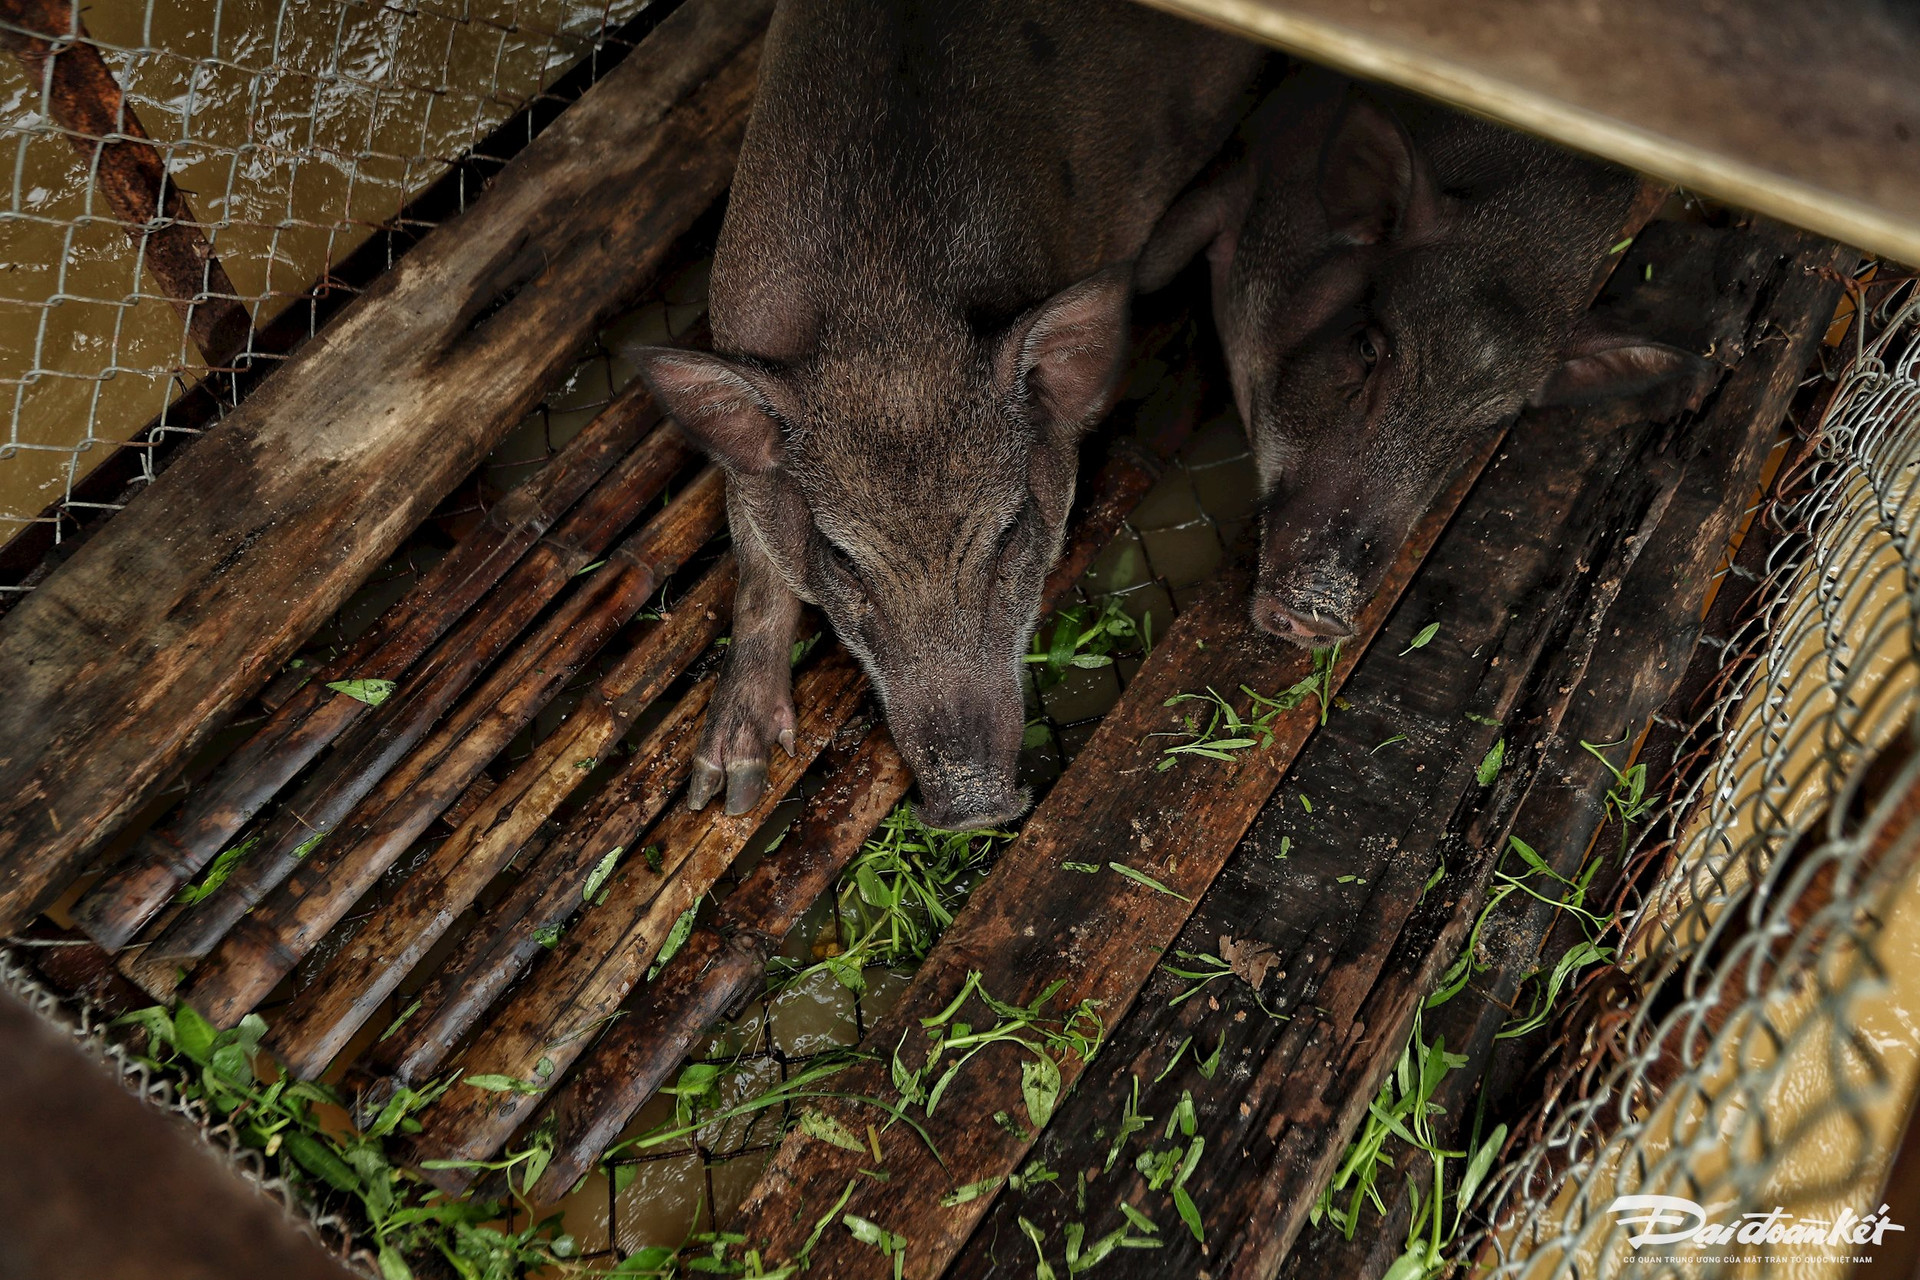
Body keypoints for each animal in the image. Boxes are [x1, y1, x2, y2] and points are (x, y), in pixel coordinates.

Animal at [622, 2, 1267, 832]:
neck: (888, 307)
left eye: (1013, 529)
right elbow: (756, 562)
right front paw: (726, 794)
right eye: (841, 558)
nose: (973, 804)